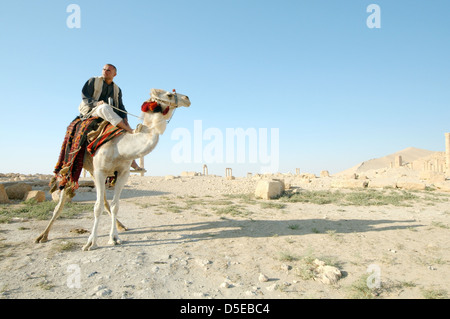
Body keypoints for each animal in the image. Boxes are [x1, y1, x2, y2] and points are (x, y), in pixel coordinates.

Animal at [35, 89, 190, 251]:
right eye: (169, 94)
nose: (187, 98)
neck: (120, 147)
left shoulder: (123, 173)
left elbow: (115, 205)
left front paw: (114, 238)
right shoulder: (100, 171)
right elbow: (96, 207)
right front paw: (91, 243)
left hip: (93, 170)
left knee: (104, 201)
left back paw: (121, 226)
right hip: (74, 167)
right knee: (61, 201)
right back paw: (43, 236)